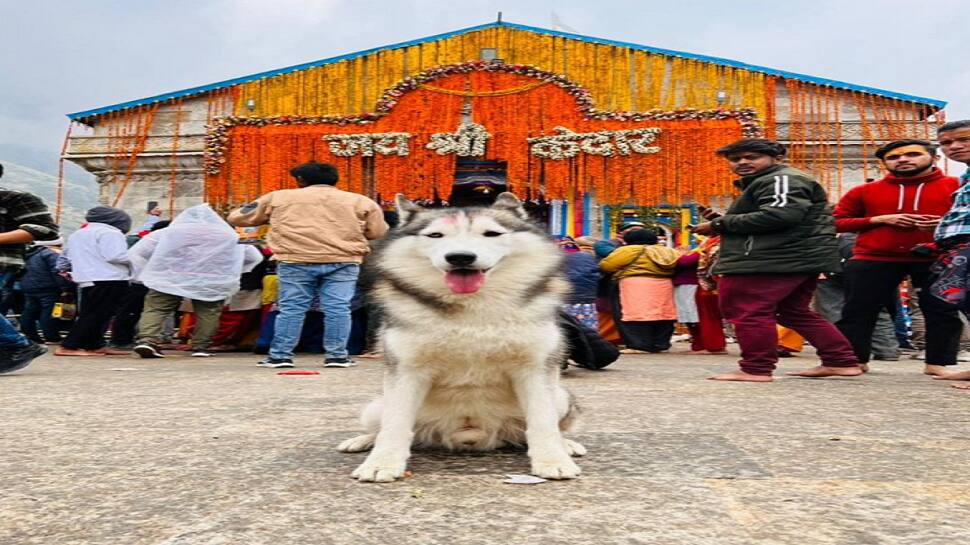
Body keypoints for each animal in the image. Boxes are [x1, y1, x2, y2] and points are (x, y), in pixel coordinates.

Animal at [340, 191, 584, 480]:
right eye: (436, 235)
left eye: (491, 233)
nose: (460, 257)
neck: (472, 309)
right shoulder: (406, 369)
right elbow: (394, 424)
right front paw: (381, 463)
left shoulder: (536, 368)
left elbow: (543, 422)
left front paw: (552, 459)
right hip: (375, 405)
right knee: (381, 425)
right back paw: (363, 440)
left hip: (561, 396)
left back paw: (567, 444)